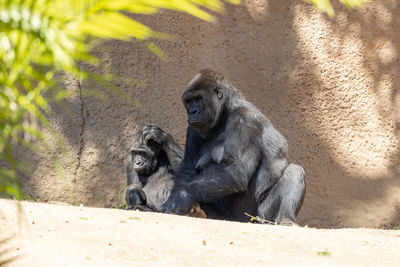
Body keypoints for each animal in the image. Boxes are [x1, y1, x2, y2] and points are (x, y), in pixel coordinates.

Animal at [162, 69, 306, 224]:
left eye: (199, 99)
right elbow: (188, 170)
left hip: (258, 217)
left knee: (294, 171)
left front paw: (182, 195)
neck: (225, 112)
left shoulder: (245, 119)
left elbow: (237, 170)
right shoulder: (193, 129)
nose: (192, 112)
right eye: (188, 101)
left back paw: (286, 219)